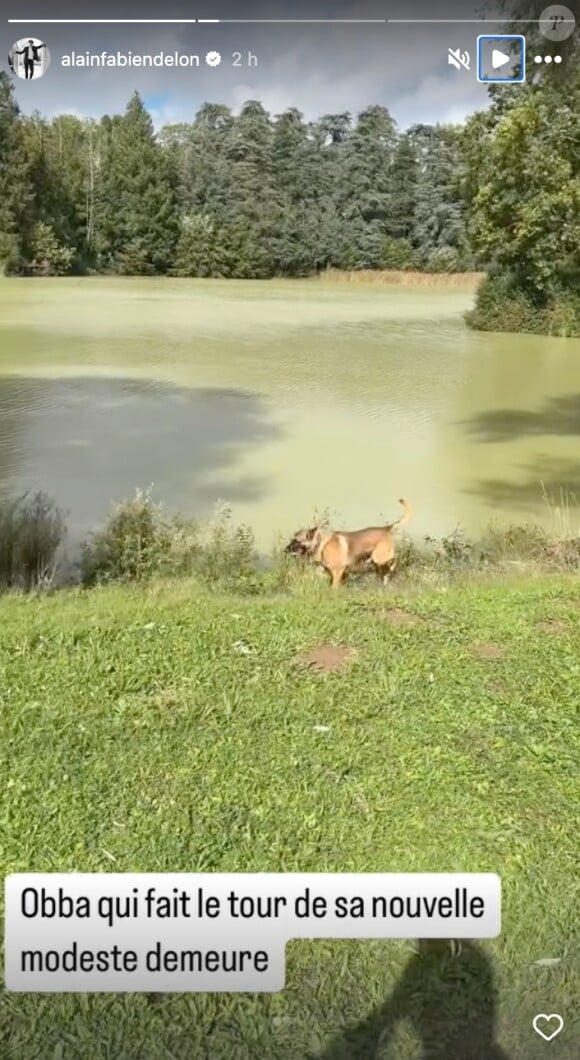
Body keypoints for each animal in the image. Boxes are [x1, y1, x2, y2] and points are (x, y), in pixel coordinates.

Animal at [282, 498, 411, 589]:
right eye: (292, 540)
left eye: (296, 541)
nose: (285, 550)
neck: (320, 543)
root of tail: (386, 528)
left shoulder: (337, 570)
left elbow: (334, 586)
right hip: (377, 561)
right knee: (385, 570)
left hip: (379, 557)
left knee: (394, 559)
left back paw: (392, 568)